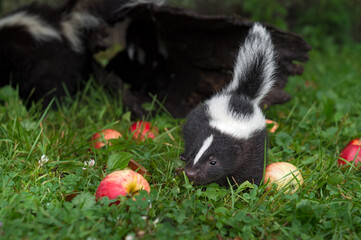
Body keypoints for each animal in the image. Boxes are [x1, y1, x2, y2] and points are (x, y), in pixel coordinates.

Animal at [180, 23, 276, 187]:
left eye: (213, 162)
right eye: (194, 154)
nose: (191, 173)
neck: (232, 122)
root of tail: (241, 95)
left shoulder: (254, 146)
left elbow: (253, 170)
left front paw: (249, 187)